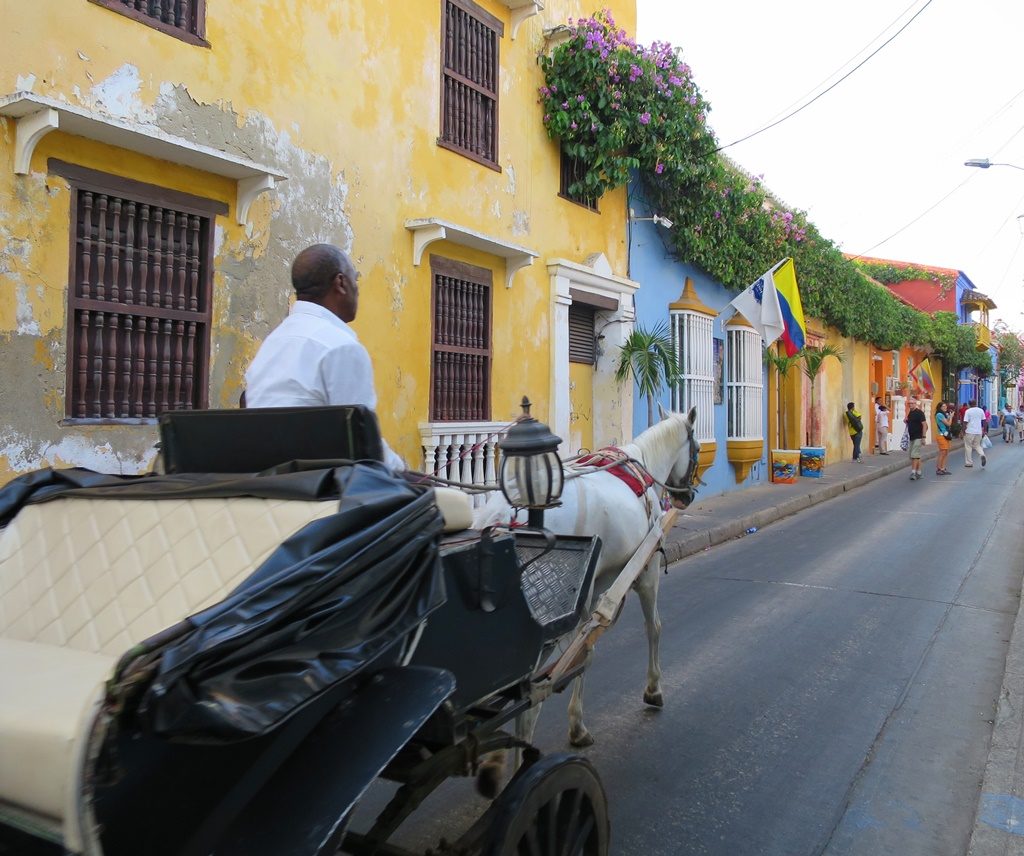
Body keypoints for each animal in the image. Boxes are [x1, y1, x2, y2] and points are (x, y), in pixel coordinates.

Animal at [473, 405, 700, 745]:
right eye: (696, 449)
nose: (686, 496)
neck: (643, 466)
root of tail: (501, 517)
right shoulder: (646, 570)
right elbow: (653, 627)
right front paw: (653, 690)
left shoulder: (596, 584)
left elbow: (584, 649)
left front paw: (577, 722)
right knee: (529, 697)